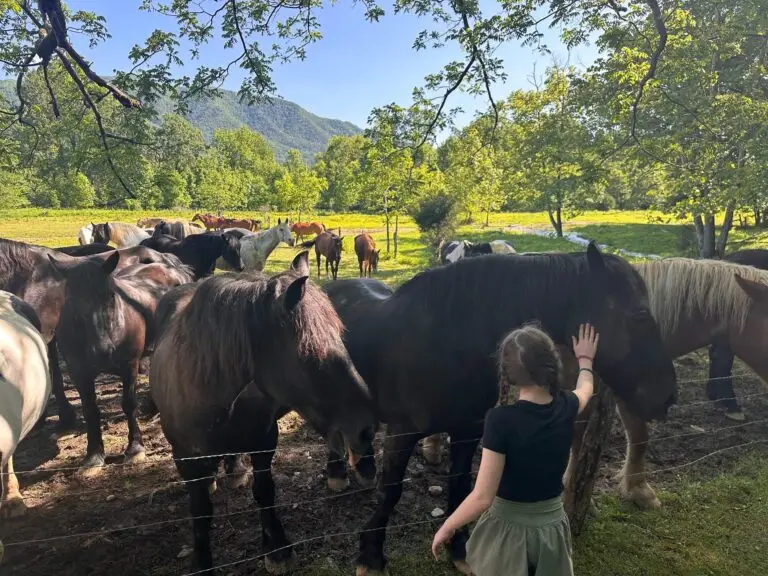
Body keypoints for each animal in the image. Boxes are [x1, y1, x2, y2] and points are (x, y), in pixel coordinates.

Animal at [47, 251, 194, 474]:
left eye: (110, 295)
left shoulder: (129, 367)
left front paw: (135, 449)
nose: (102, 349)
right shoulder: (79, 374)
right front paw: (93, 456)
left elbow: (129, 404)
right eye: (71, 301)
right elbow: (90, 411)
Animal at [150, 251, 378, 573]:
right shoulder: (185, 457)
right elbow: (200, 510)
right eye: (310, 353)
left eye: (340, 338)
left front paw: (277, 548)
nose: (366, 427)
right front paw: (202, 562)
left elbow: (264, 491)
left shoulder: (263, 440)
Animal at [321, 244, 677, 574]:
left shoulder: (468, 431)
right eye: (639, 314)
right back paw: (339, 475)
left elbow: (461, 485)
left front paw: (459, 550)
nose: (668, 397)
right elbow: (390, 492)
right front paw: (371, 559)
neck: (447, 342)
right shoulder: (402, 432)